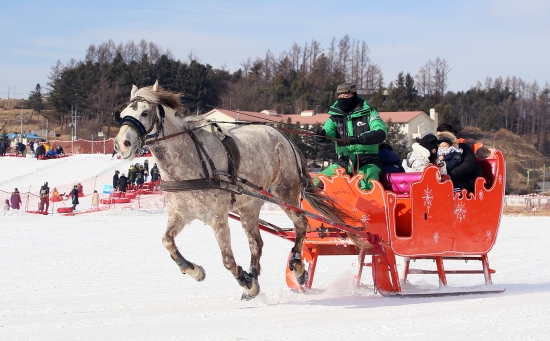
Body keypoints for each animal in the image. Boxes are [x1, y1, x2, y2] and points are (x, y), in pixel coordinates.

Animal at [113, 81, 344, 296]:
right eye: (122, 114)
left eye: (144, 112)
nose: (121, 144)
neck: (190, 161)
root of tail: (285, 139)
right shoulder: (181, 213)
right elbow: (167, 241)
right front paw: (194, 270)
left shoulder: (218, 217)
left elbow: (226, 259)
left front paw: (245, 281)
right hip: (249, 206)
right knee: (256, 242)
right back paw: (256, 276)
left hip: (285, 193)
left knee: (301, 224)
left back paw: (297, 267)